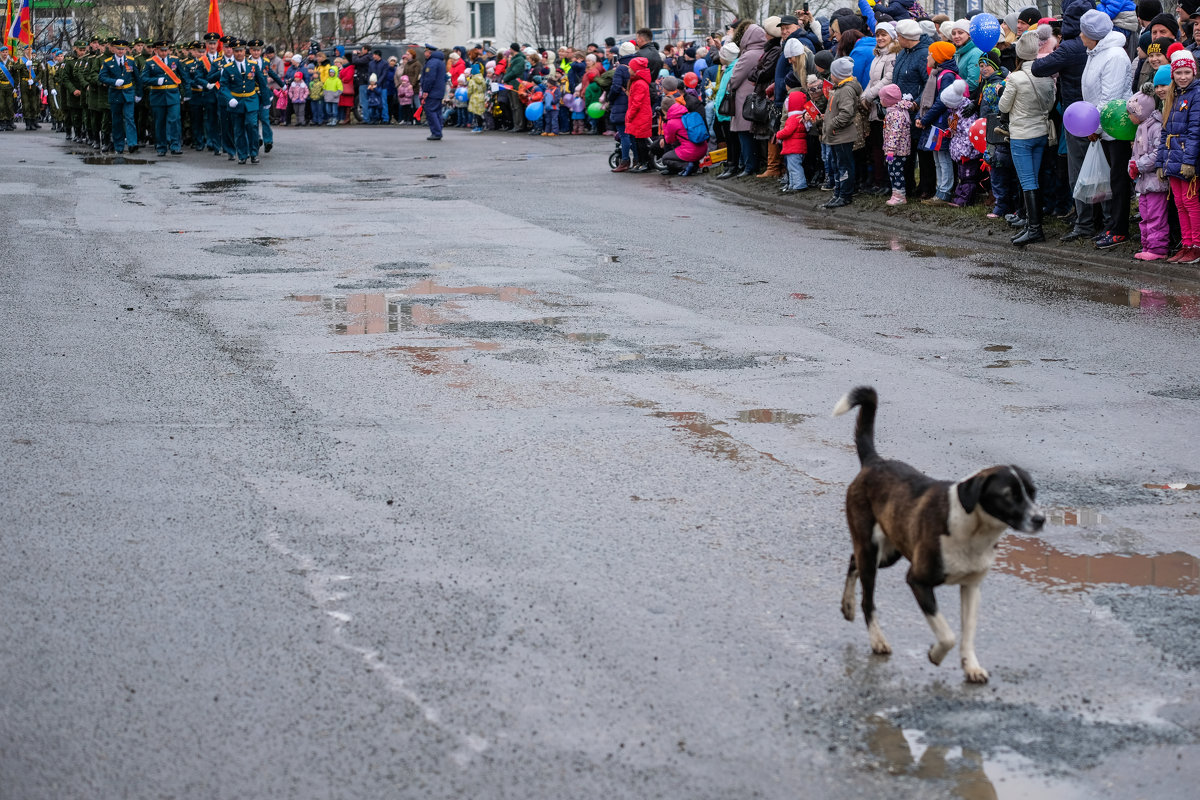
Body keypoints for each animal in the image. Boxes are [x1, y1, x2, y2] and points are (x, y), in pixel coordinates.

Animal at [830, 386, 1046, 681]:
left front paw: (971, 666)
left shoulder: (971, 587)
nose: (1040, 519)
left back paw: (847, 605)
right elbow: (947, 635)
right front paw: (935, 654)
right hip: (871, 548)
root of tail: (874, 461)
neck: (973, 530)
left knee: (853, 561)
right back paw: (876, 638)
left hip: (889, 552)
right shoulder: (918, 580)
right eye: (1008, 495)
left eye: (1033, 492)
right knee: (868, 599)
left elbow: (967, 633)